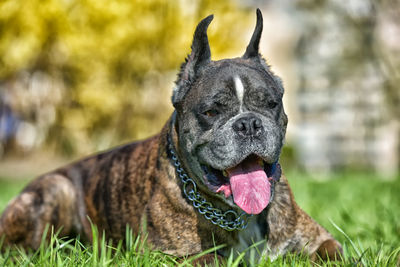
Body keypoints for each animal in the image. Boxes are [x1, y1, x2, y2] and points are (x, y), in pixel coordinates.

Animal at [1, 9, 342, 264]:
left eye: (271, 104)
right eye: (211, 112)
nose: (248, 124)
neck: (237, 215)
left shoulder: (319, 240)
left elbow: (333, 253)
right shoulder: (171, 256)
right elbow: (212, 258)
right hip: (56, 189)